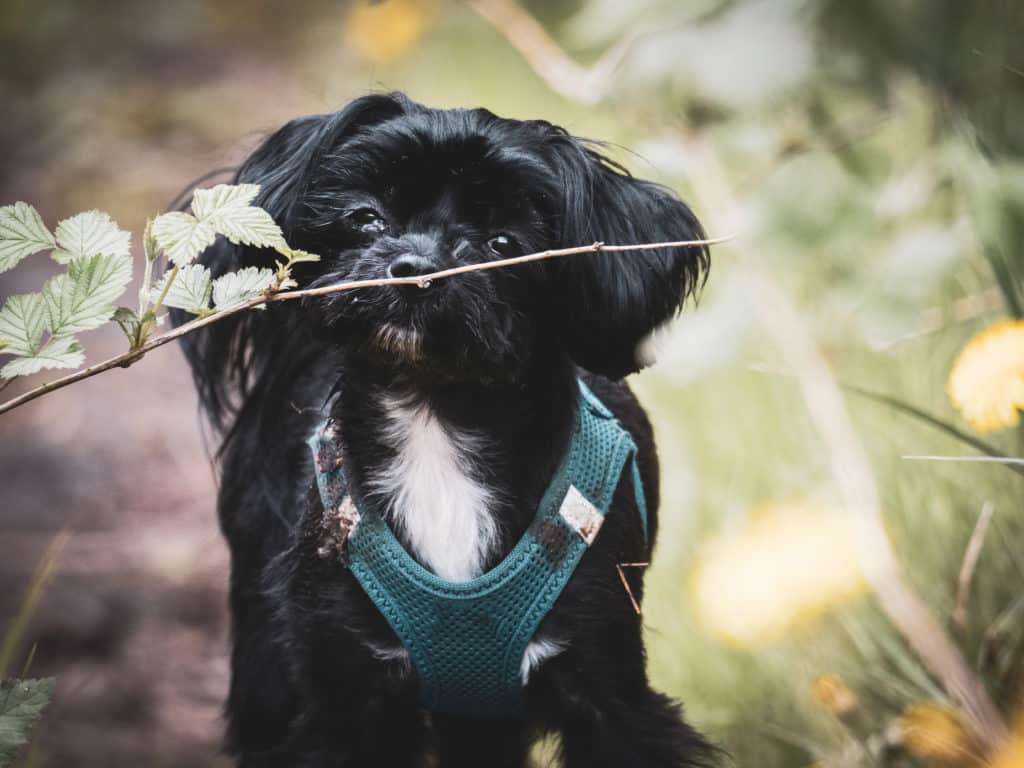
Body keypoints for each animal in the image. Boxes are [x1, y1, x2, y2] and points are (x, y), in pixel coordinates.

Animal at [176, 93, 716, 765]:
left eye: (505, 242)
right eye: (365, 219)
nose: (415, 265)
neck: (435, 420)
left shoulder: (608, 687)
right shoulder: (342, 695)